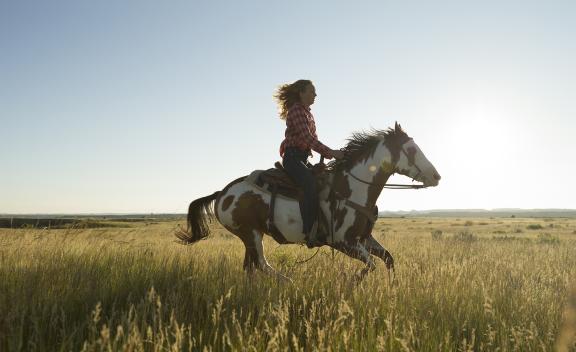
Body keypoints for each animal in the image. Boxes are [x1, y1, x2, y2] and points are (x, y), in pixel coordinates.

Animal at [178, 122, 438, 282]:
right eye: (412, 150)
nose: (436, 176)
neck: (352, 188)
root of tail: (223, 192)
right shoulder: (343, 242)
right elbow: (370, 266)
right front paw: (351, 284)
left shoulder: (363, 238)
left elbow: (388, 259)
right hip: (249, 233)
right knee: (261, 264)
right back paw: (289, 282)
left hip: (251, 236)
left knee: (250, 267)